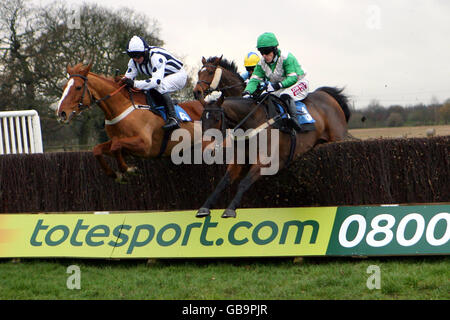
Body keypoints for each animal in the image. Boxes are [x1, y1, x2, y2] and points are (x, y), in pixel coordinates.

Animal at [56, 63, 204, 182]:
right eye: (64, 87)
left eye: (78, 87)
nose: (61, 113)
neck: (121, 107)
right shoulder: (123, 146)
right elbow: (98, 149)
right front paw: (114, 174)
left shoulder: (145, 145)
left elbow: (116, 145)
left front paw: (128, 169)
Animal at [195, 86, 350, 219]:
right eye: (202, 119)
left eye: (217, 118)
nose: (205, 147)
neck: (253, 123)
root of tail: (326, 95)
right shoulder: (239, 160)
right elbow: (223, 182)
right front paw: (204, 208)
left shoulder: (267, 161)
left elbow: (244, 182)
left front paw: (230, 210)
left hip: (337, 138)